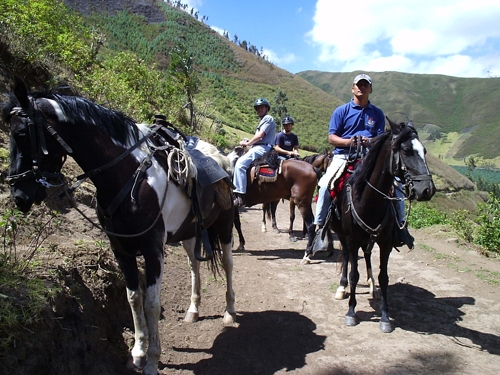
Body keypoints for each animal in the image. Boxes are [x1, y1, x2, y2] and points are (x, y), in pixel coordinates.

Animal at [304, 119, 434, 334]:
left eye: (423, 150)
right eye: (406, 150)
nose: (427, 190)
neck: (368, 197)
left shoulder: (386, 243)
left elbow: (384, 277)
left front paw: (385, 316)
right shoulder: (352, 239)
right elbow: (353, 274)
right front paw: (351, 312)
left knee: (366, 254)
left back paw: (372, 286)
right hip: (344, 235)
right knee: (347, 257)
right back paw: (342, 288)